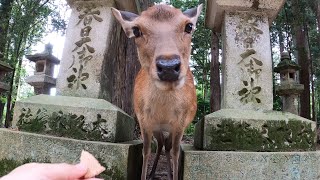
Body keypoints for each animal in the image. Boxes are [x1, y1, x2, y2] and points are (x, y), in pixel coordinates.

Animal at [111, 4, 201, 180]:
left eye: (189, 26)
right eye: (136, 30)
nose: (168, 67)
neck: (163, 111)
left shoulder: (181, 122)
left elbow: (175, 152)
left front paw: (174, 175)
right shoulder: (144, 119)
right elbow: (146, 150)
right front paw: (145, 175)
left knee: (167, 146)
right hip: (157, 128)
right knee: (160, 144)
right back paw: (153, 173)